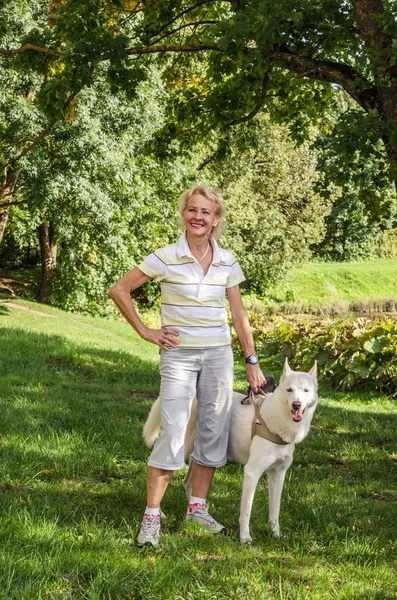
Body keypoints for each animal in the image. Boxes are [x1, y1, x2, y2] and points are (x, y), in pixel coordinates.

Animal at [141, 358, 318, 548]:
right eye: (289, 390)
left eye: (306, 390)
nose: (296, 405)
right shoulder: (252, 473)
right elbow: (246, 511)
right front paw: (245, 539)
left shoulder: (278, 475)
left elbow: (274, 511)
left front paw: (276, 535)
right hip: (179, 448)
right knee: (158, 470)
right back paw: (160, 514)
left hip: (200, 452)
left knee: (187, 482)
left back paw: (195, 516)